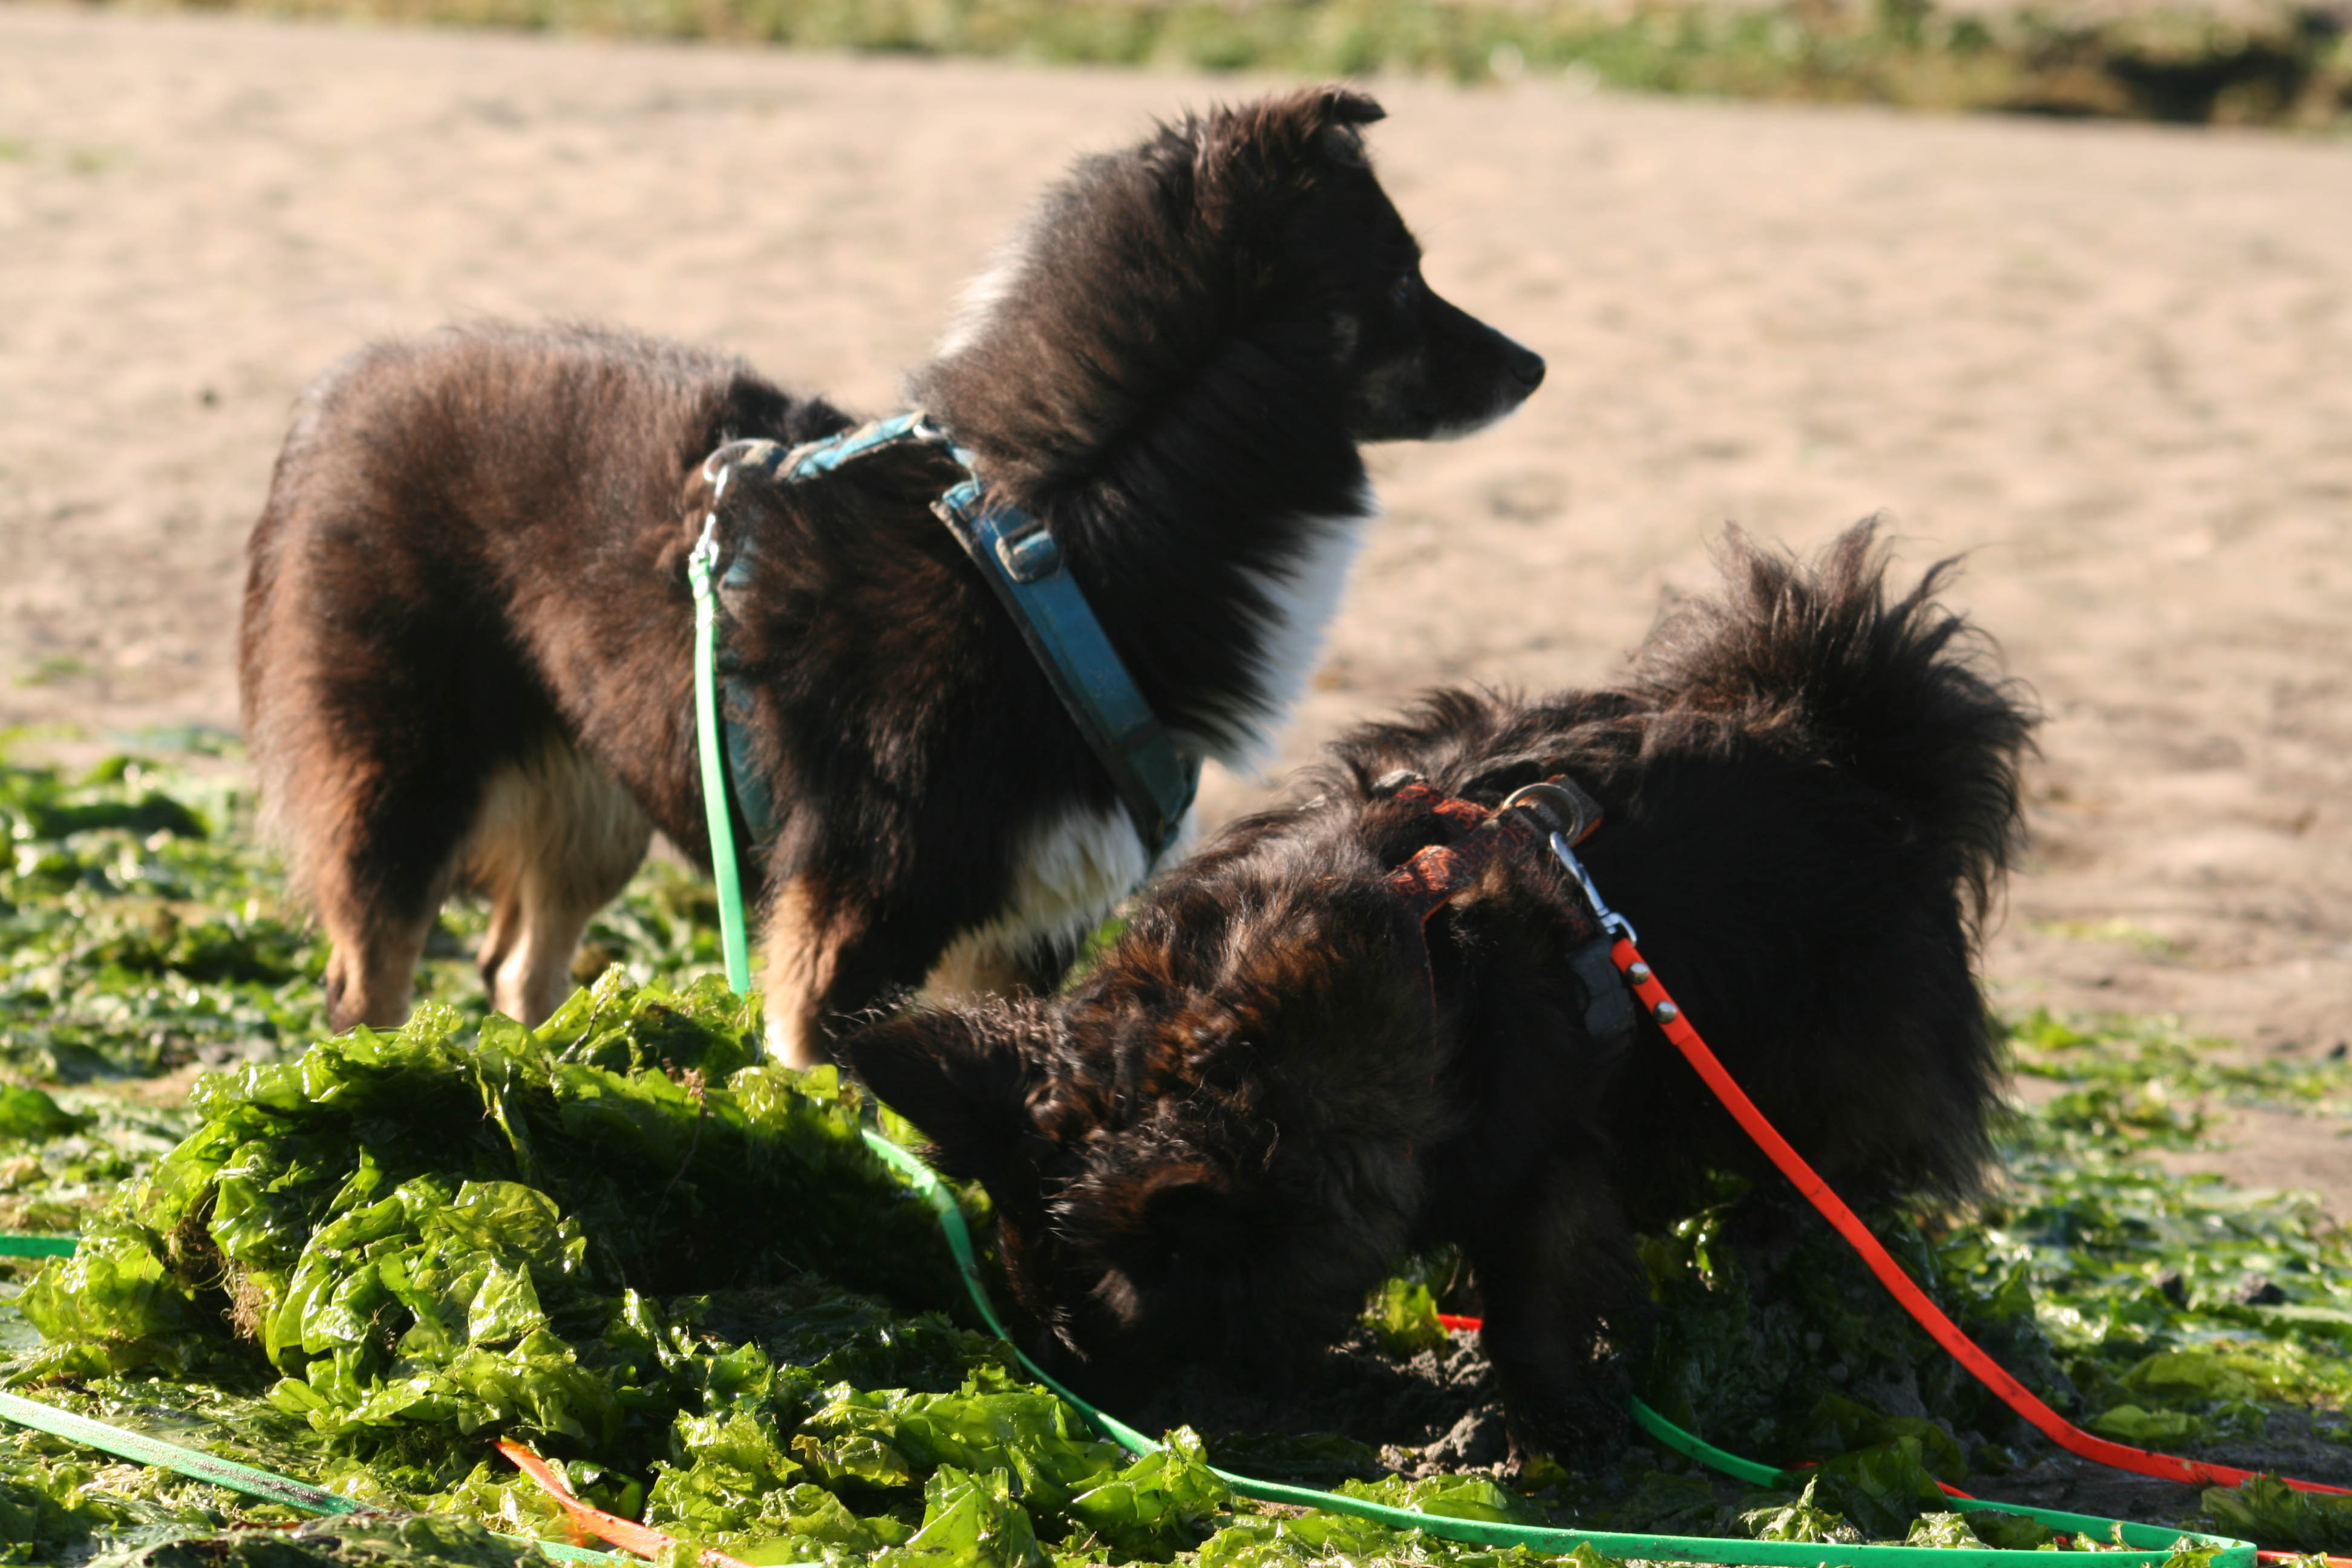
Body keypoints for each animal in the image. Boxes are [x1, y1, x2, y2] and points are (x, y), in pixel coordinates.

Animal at [238, 88, 1543, 1067]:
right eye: (1400, 280)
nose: (1534, 364)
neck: (1056, 530)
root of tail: (352, 383)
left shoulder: (1022, 934)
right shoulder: (855, 939)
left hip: (593, 799)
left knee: (519, 967)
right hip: (401, 788)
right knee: (367, 985)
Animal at [846, 524, 2041, 1457]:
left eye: (1131, 1348)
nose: (1121, 1422)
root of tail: (1850, 742)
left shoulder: (1539, 1159)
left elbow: (1530, 1304)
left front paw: (1555, 1424)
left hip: (1810, 1049)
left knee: (1845, 1167)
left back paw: (1767, 1232)